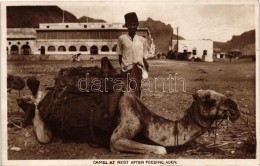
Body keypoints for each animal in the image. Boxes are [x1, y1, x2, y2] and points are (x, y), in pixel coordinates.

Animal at [15, 57, 240, 155]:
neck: (146, 119)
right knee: (43, 131)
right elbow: (161, 150)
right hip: (46, 123)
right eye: (209, 100)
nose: (235, 107)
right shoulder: (120, 134)